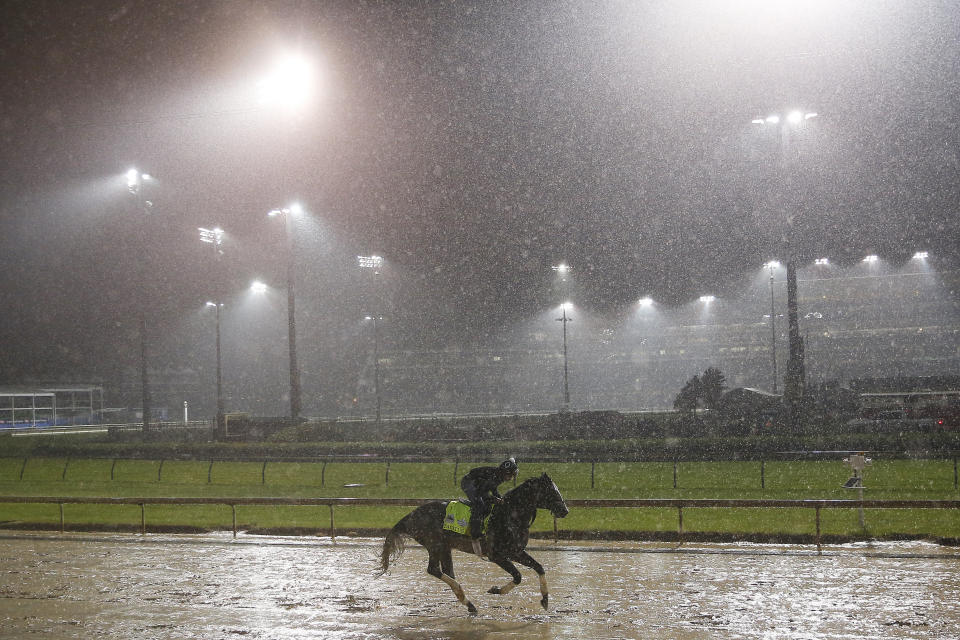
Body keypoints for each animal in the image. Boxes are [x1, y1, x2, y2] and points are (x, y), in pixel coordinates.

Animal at [376, 470, 568, 616]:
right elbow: (518, 576)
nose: (565, 510)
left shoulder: (515, 551)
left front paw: (545, 599)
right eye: (551, 491)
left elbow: (539, 567)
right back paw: (465, 598)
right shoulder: (496, 555)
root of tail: (411, 515)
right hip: (435, 544)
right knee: (434, 570)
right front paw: (496, 590)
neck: (511, 515)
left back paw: (467, 602)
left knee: (447, 571)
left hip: (445, 547)